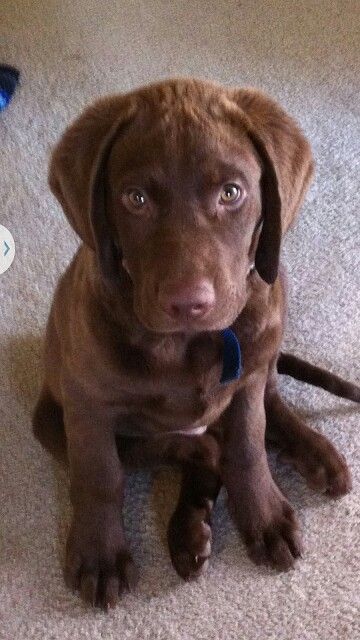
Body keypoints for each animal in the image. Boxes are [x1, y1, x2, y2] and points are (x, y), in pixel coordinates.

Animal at [33, 80, 358, 608]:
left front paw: (264, 515)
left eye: (231, 193)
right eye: (136, 198)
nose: (189, 303)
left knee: (264, 405)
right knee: (200, 450)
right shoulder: (86, 403)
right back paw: (191, 531)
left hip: (267, 341)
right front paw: (101, 555)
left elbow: (248, 445)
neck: (187, 344)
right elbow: (99, 474)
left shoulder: (246, 382)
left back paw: (315, 454)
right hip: (53, 421)